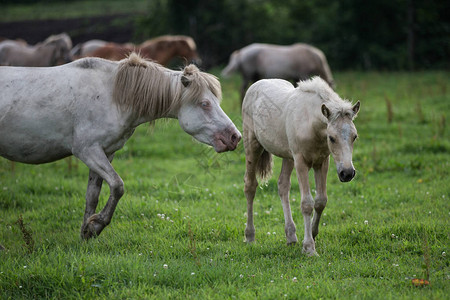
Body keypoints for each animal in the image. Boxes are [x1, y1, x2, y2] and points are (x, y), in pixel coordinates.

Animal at [0, 52, 243, 240]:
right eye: (205, 103)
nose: (235, 137)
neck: (113, 94)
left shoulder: (105, 153)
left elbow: (92, 196)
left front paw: (86, 231)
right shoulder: (87, 151)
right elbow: (118, 186)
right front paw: (97, 225)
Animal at [241, 77, 360, 255]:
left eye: (355, 136)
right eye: (331, 138)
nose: (347, 173)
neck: (310, 123)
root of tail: (257, 83)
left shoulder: (322, 162)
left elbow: (321, 201)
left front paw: (313, 233)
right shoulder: (301, 162)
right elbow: (307, 204)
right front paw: (309, 247)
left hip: (287, 157)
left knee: (283, 186)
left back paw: (291, 236)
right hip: (253, 147)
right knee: (250, 186)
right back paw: (250, 236)